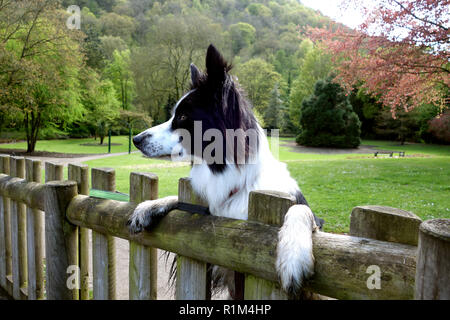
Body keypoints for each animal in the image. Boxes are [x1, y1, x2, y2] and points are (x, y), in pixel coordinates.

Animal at [128, 43, 322, 296]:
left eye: (183, 116)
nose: (136, 139)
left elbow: (301, 209)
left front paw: (293, 255)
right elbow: (178, 199)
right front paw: (148, 206)